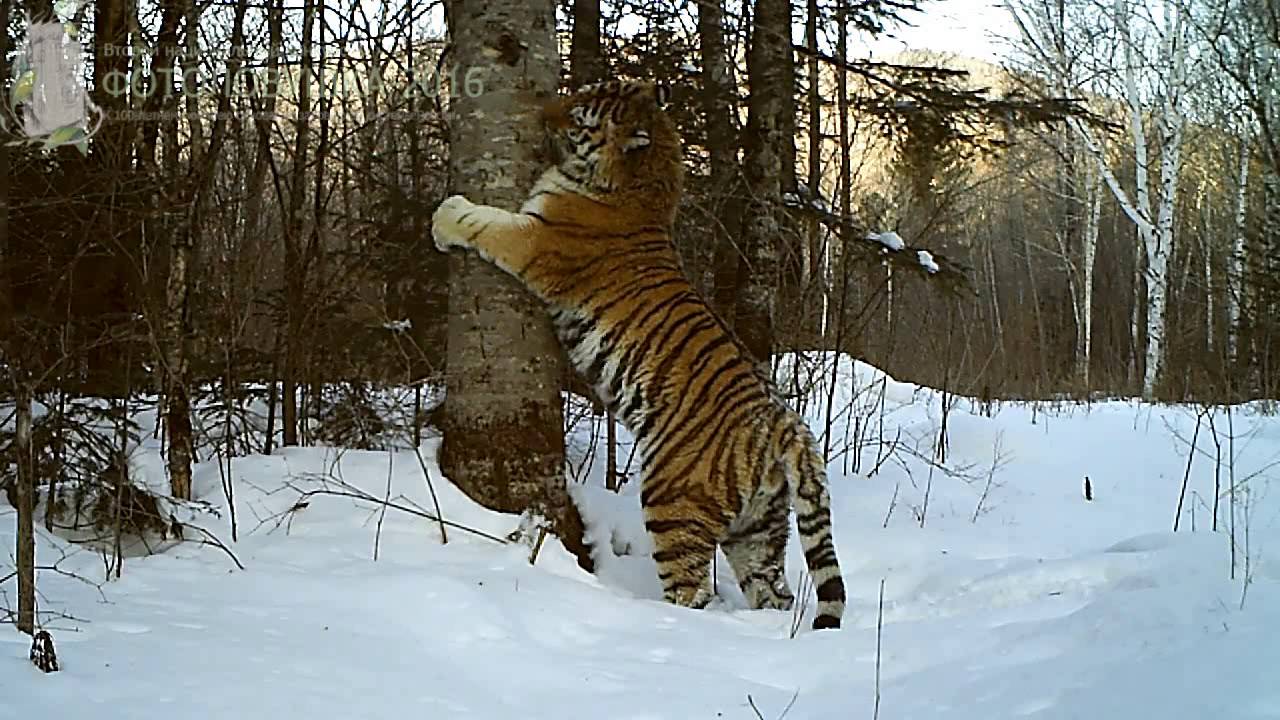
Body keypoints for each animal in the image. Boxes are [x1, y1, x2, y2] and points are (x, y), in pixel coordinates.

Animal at [435, 79, 844, 627]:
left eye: (580, 115)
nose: (544, 111)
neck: (643, 184)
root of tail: (786, 426)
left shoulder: (535, 239)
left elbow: (485, 223)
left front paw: (444, 216)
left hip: (674, 502)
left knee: (692, 592)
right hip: (759, 529)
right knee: (772, 594)